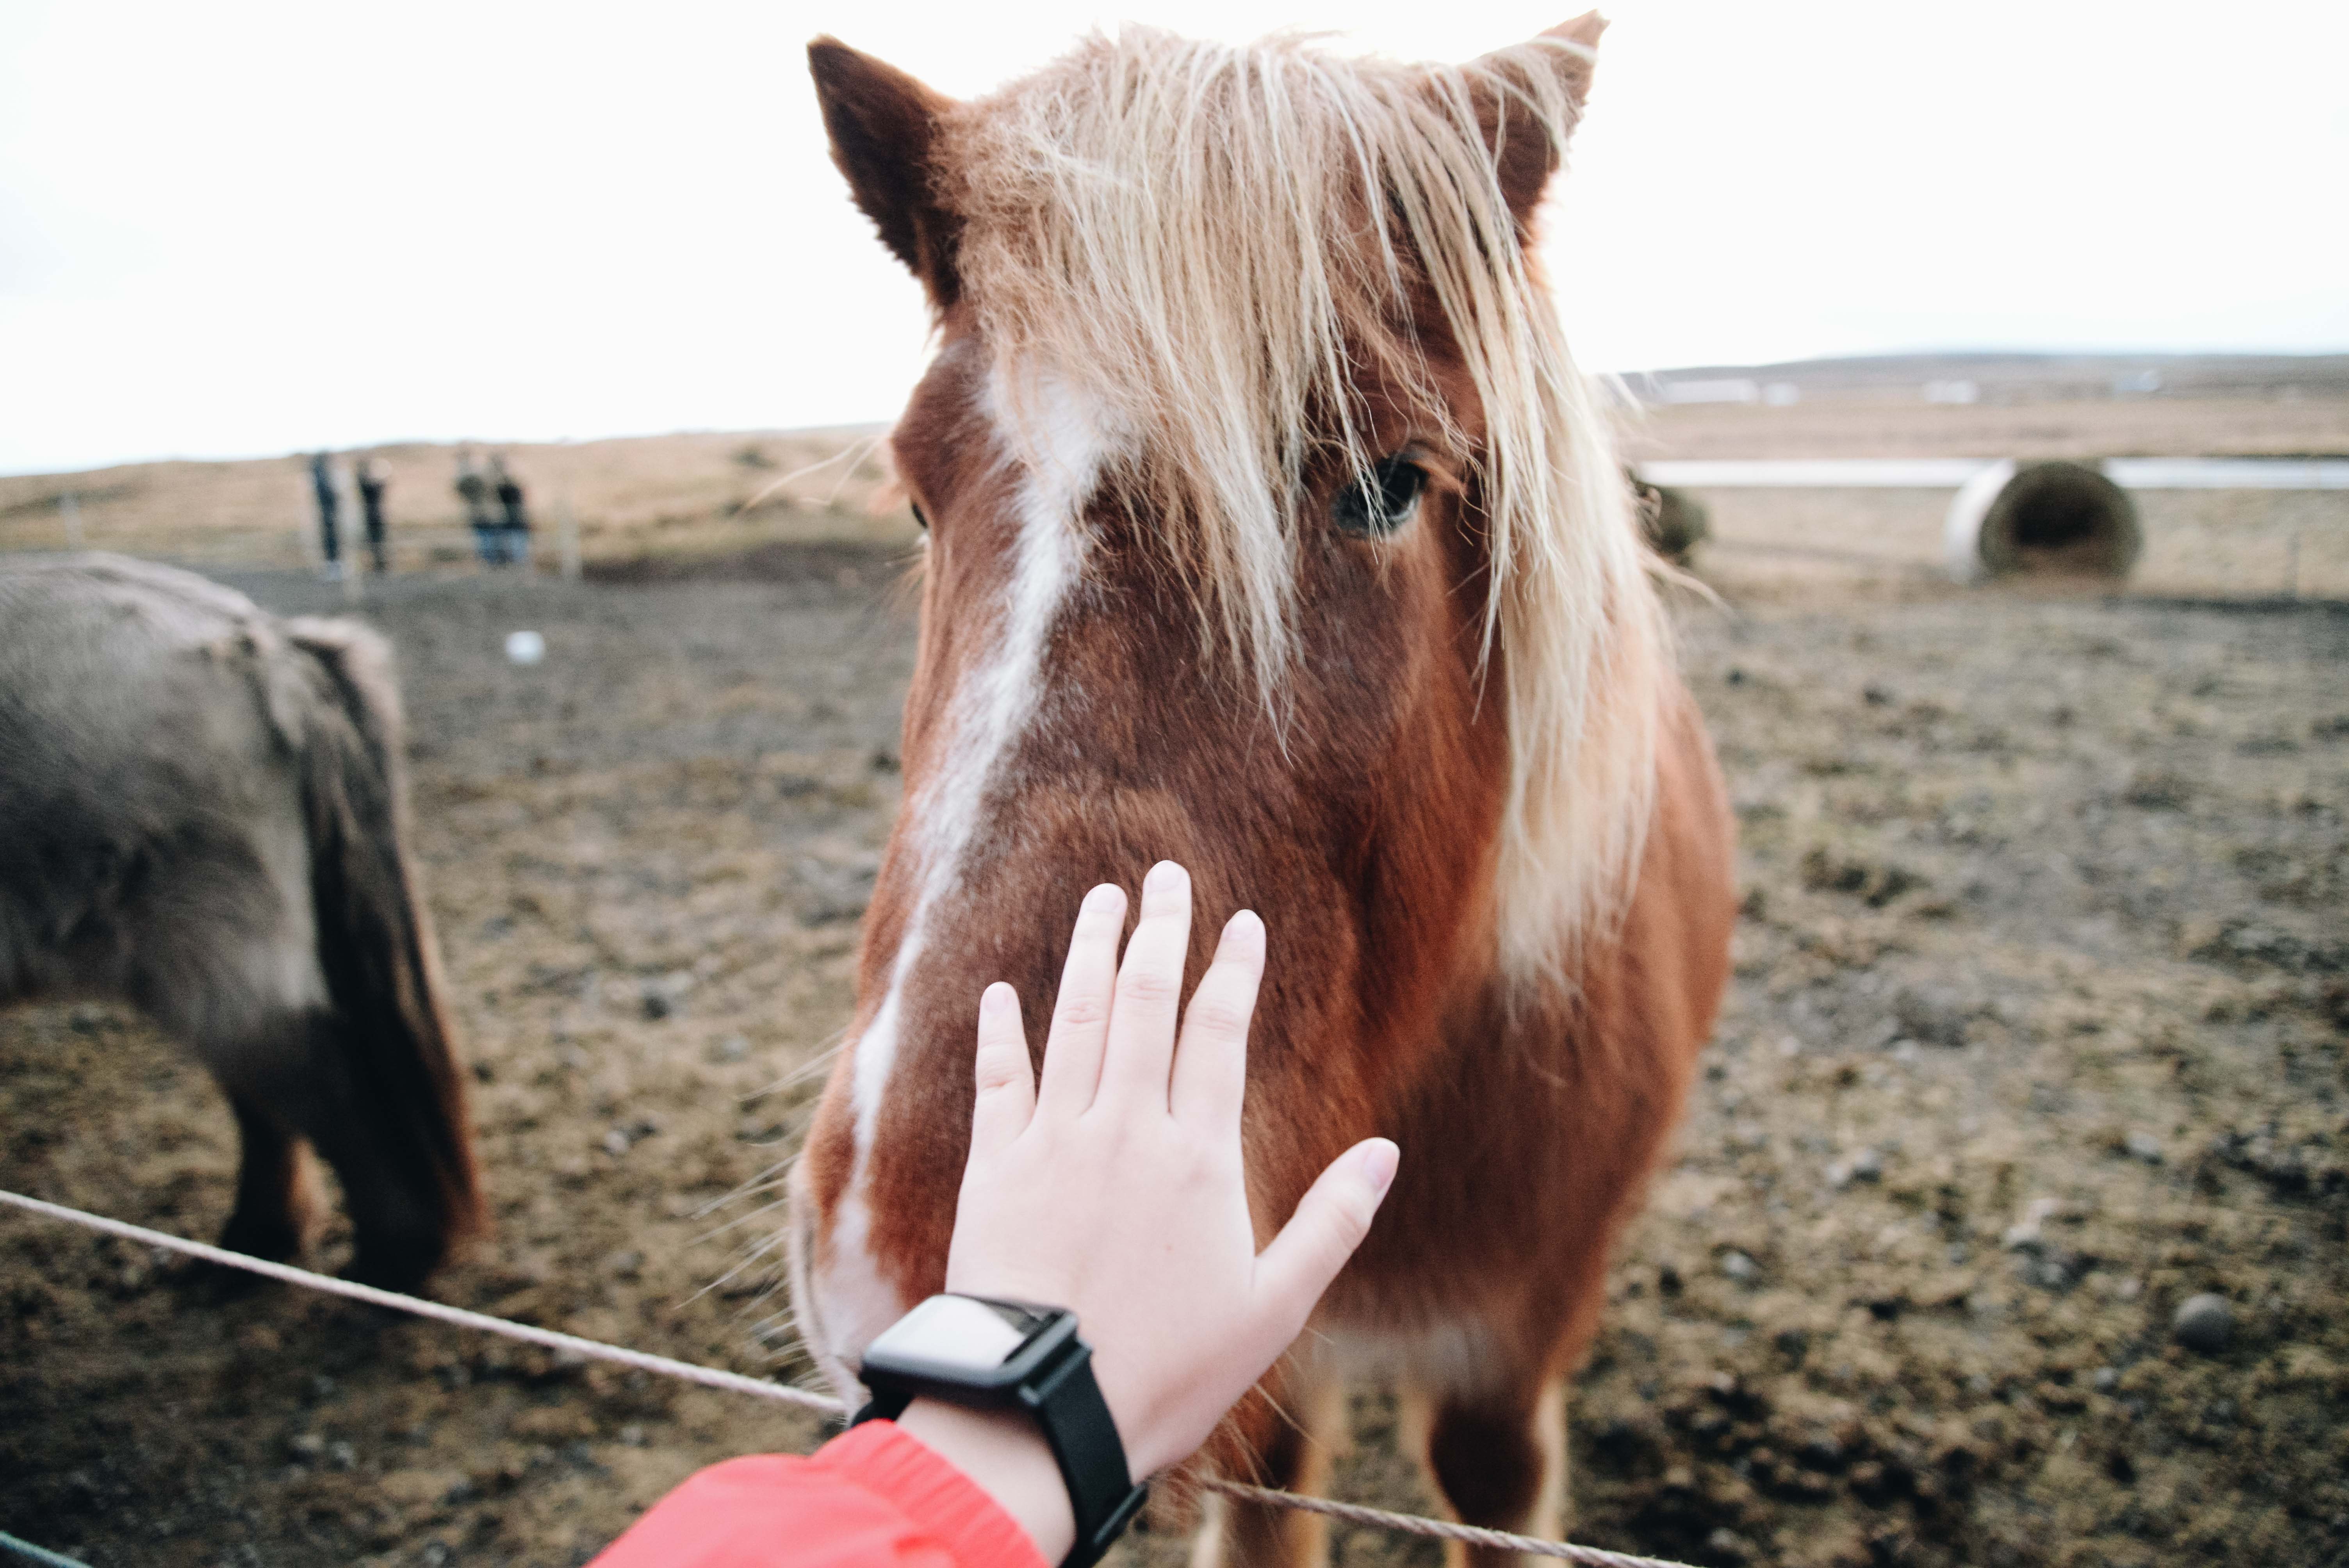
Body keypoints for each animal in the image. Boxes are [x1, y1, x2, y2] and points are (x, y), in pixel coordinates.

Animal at [0, 551, 481, 1286]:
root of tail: (267, 646)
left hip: (210, 943)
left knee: (312, 1088)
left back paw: (374, 1267)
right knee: (270, 1098)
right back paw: (263, 1246)